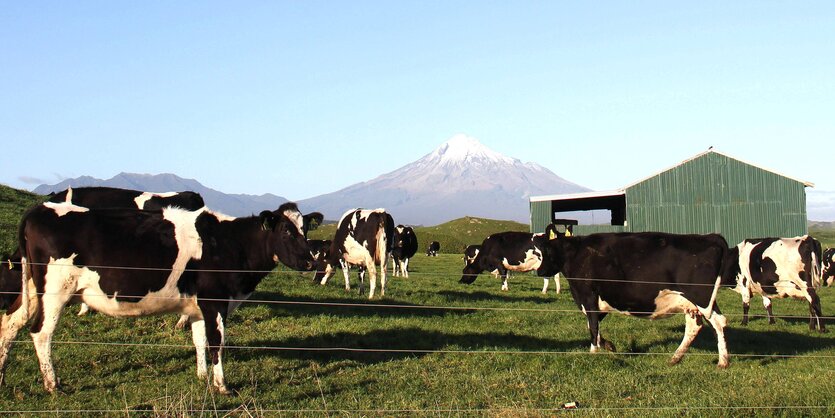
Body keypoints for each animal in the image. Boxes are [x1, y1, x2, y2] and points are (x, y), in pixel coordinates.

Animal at [0, 201, 314, 394]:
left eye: (305, 230)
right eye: (286, 231)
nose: (311, 262)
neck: (230, 242)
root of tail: (39, 208)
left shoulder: (198, 306)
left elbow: (199, 340)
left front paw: (201, 376)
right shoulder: (215, 301)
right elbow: (216, 342)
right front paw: (221, 385)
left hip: (32, 287)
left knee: (10, 324)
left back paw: (2, 374)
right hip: (56, 290)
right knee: (40, 332)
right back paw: (53, 384)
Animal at [536, 233, 740, 368]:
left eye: (546, 253)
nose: (539, 271)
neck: (577, 254)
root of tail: (711, 237)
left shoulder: (588, 296)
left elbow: (593, 327)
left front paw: (593, 353)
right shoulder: (600, 302)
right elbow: (593, 326)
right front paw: (609, 346)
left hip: (701, 298)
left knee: (718, 322)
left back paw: (723, 361)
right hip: (693, 303)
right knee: (694, 327)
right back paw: (675, 358)